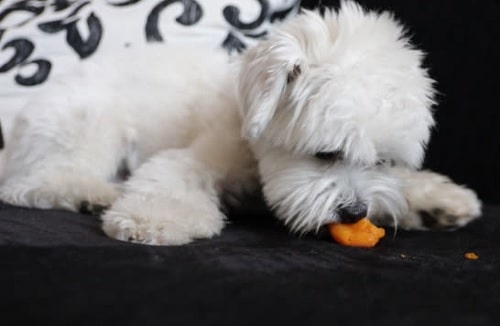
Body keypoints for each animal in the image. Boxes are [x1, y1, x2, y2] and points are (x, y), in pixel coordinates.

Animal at [0, 1, 480, 244]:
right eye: (326, 153)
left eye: (384, 162)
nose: (355, 212)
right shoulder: (203, 153)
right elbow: (173, 180)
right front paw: (155, 221)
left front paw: (437, 201)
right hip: (91, 125)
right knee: (34, 183)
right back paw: (92, 193)